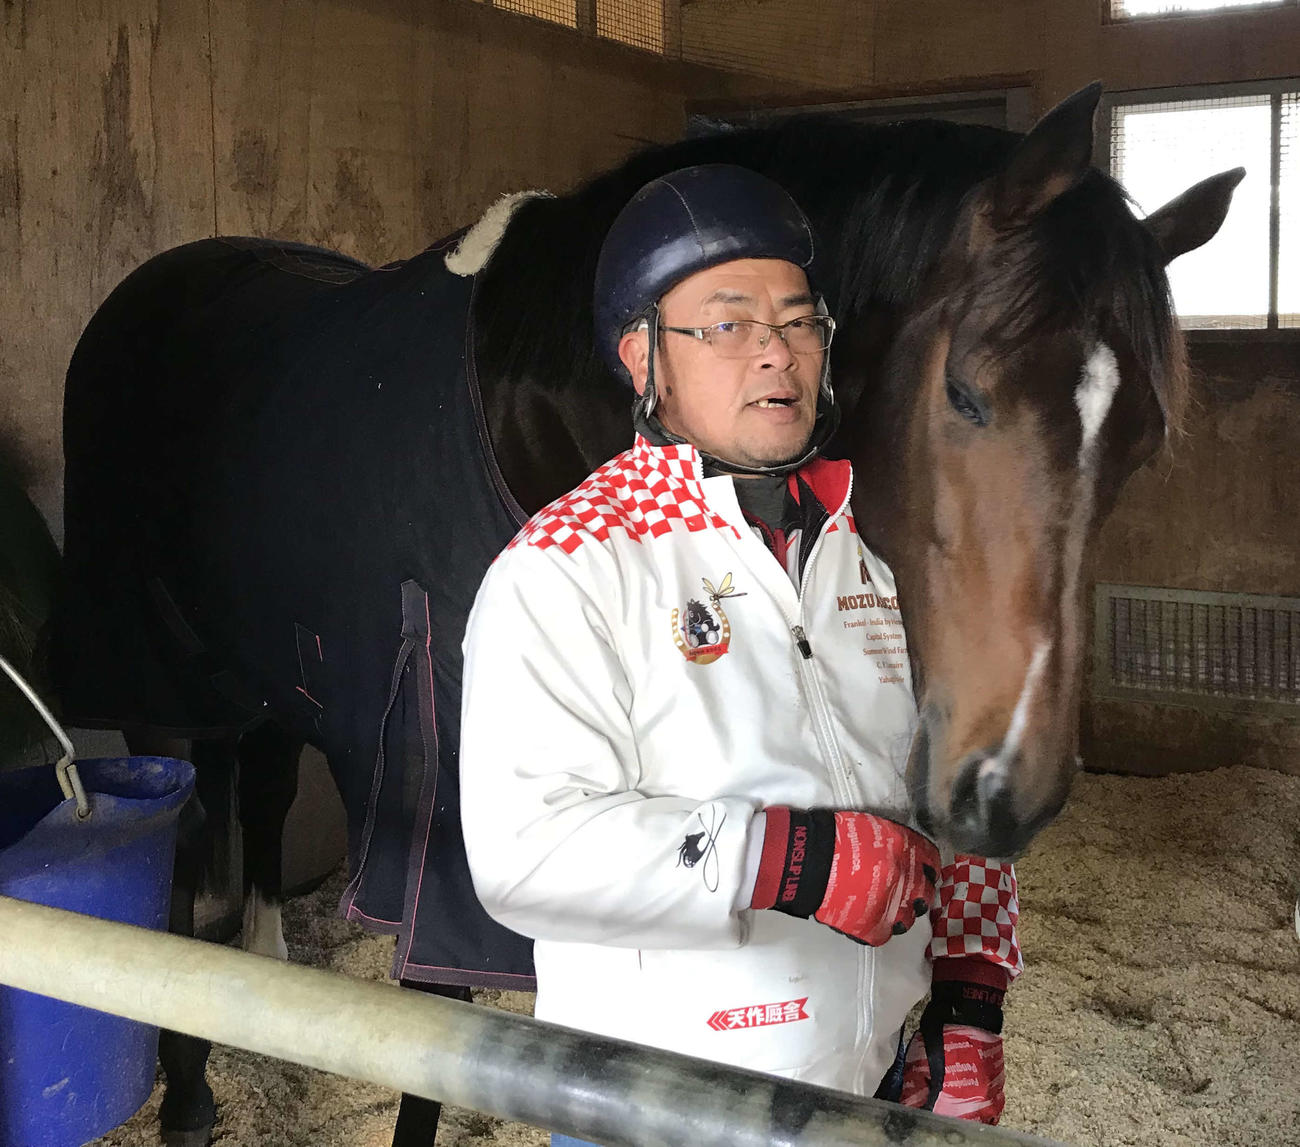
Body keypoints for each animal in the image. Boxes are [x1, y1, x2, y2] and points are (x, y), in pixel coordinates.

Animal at [49, 82, 1240, 1146]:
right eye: (966, 393)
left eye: (1140, 441)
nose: (1006, 794)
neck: (538, 398)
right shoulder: (448, 815)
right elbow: (432, 1035)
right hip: (155, 686)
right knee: (182, 848)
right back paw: (188, 1094)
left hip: (263, 672)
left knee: (254, 794)